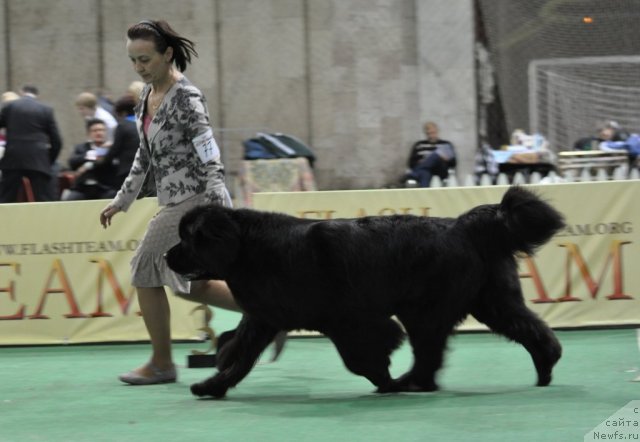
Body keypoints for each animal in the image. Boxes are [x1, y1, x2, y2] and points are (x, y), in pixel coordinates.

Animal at [166, 185, 564, 398]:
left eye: (189, 239)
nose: (167, 256)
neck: (250, 250)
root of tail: (465, 226)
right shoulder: (264, 318)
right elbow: (240, 356)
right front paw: (212, 384)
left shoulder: (348, 319)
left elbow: (361, 355)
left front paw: (384, 377)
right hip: (491, 301)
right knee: (530, 330)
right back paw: (545, 368)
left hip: (425, 310)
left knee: (429, 352)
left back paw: (410, 383)